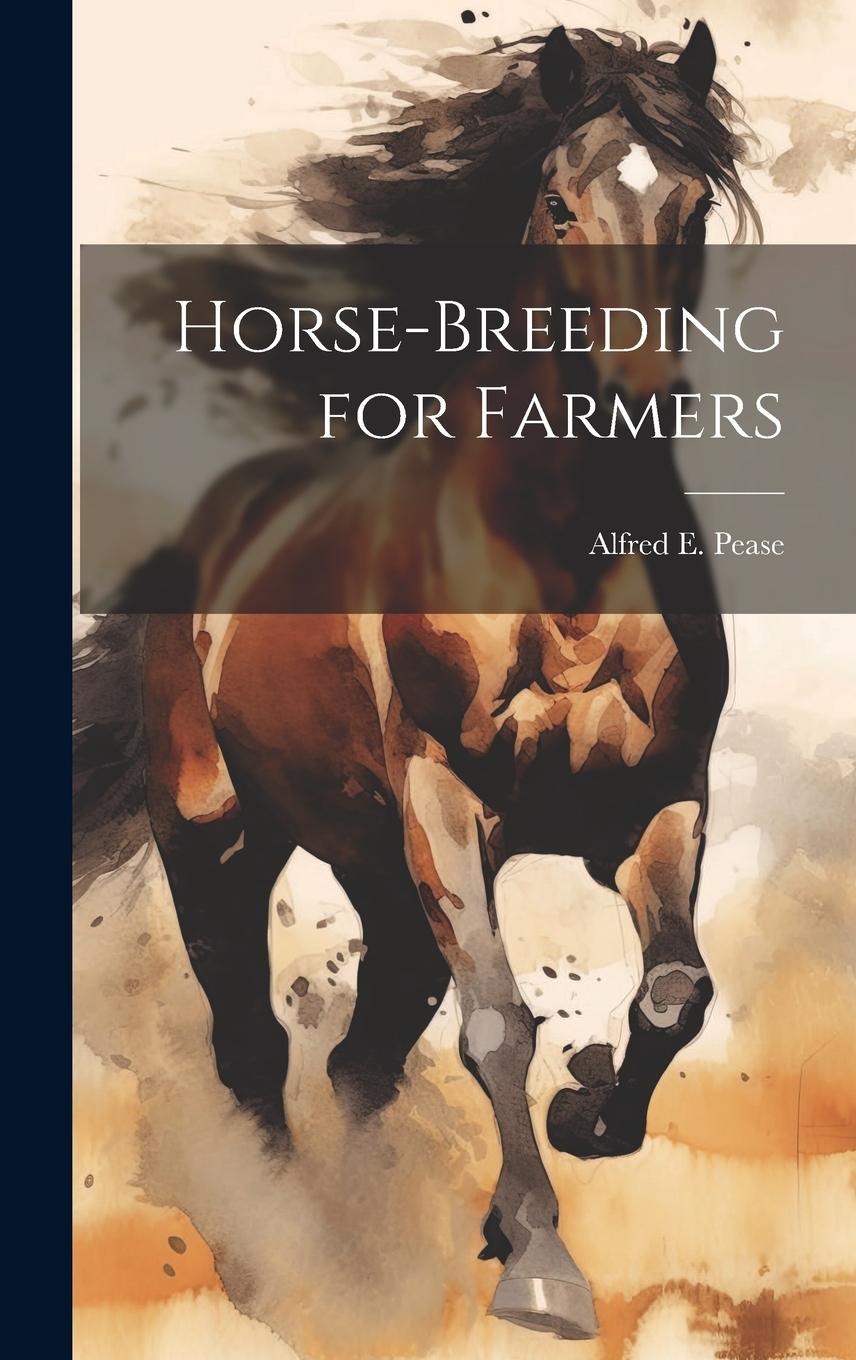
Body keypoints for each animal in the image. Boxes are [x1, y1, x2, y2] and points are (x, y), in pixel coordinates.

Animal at [77, 23, 757, 1342]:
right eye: (558, 203)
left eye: (693, 203)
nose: (638, 395)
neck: (566, 571)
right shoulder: (445, 803)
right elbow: (497, 1020)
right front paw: (543, 1266)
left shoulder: (657, 802)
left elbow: (671, 993)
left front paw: (584, 1114)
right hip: (219, 833)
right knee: (253, 1046)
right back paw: (289, 1242)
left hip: (375, 868)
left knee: (361, 1056)